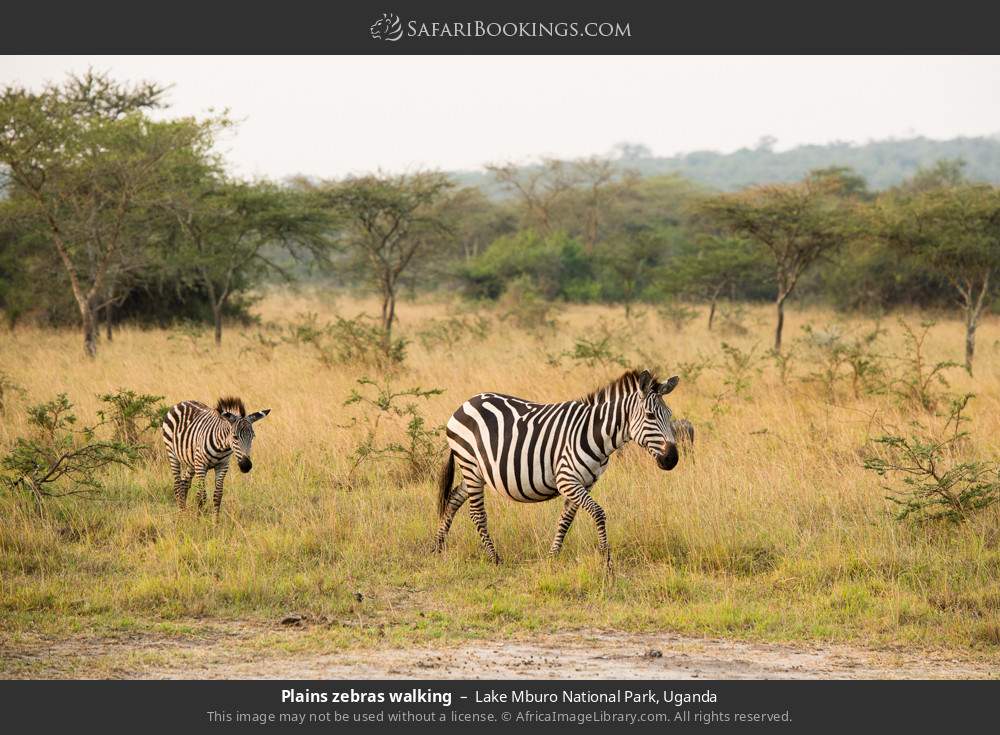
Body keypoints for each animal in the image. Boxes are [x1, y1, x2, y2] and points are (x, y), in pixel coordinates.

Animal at [434, 368, 684, 568]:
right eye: (650, 415)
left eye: (670, 415)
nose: (672, 459)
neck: (595, 434)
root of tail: (466, 403)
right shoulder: (567, 479)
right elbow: (598, 513)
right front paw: (606, 559)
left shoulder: (585, 483)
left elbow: (566, 519)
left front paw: (552, 556)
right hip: (470, 465)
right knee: (476, 513)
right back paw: (494, 558)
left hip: (477, 471)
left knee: (453, 499)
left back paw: (437, 547)